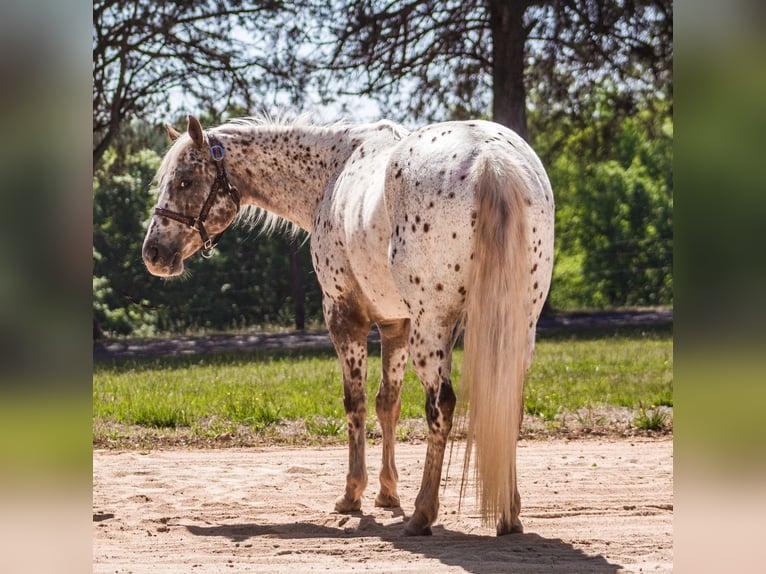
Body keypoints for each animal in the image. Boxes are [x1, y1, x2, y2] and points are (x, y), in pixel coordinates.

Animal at [142, 114, 554, 536]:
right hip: (514, 328)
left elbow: (355, 402)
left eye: (184, 181)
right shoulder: (396, 324)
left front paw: (353, 493)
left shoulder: (344, 316)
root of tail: (489, 159)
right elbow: (388, 404)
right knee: (507, 402)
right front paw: (387, 492)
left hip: (432, 330)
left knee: (441, 406)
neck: (334, 170)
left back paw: (424, 512)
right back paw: (508, 512)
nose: (153, 252)